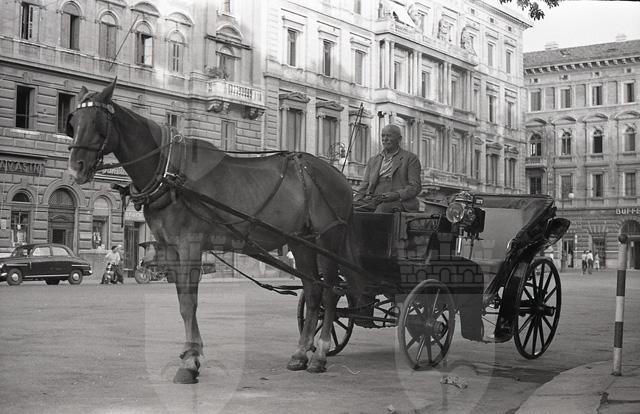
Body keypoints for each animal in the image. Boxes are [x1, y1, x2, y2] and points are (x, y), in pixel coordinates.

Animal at [66, 79, 366, 383]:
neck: (171, 172)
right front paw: (191, 355)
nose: (76, 167)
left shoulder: (189, 246)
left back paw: (320, 353)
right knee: (313, 291)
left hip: (327, 241)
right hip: (301, 242)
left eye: (97, 122)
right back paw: (300, 353)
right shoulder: (170, 249)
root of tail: (338, 175)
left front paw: (190, 362)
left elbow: (190, 303)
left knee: (330, 292)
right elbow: (182, 301)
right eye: (73, 121)